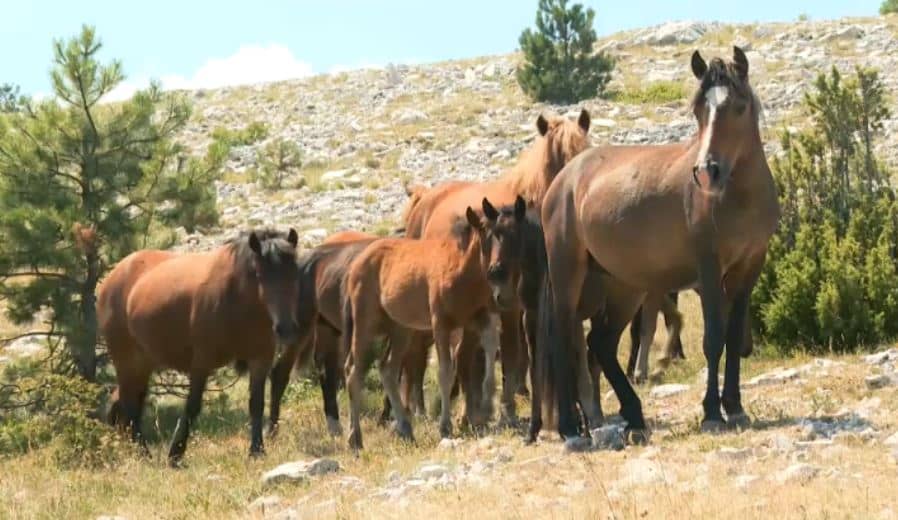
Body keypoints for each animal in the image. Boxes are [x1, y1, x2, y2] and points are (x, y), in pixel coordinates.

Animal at [98, 228, 300, 464]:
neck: (237, 302)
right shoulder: (202, 362)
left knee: (131, 404)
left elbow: (256, 405)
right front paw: (175, 455)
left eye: (294, 273)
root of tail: (111, 278)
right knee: (129, 406)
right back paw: (145, 454)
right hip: (126, 360)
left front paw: (257, 450)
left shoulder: (260, 359)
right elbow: (193, 406)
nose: (285, 328)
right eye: (259, 274)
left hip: (142, 363)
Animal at [342, 197, 524, 448]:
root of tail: (356, 263)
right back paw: (355, 438)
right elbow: (446, 372)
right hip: (365, 323)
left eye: (515, 235)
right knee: (354, 371)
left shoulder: (480, 318)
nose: (498, 274)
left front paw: (486, 408)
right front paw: (445, 426)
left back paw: (406, 429)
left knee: (387, 368)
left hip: (401, 328)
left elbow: (488, 352)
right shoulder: (441, 324)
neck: (461, 272)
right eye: (488, 236)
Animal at [400, 108, 596, 422]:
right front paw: (508, 407)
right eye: (558, 159)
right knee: (419, 352)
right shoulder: (511, 305)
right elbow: (513, 352)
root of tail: (423, 199)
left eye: (585, 151)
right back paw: (418, 408)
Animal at [540, 46, 776, 448]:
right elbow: (713, 339)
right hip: (568, 272)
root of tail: (564, 178)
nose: (707, 171)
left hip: (624, 286)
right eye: (698, 109)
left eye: (739, 106)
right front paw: (712, 413)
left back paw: (634, 417)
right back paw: (571, 430)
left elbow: (732, 336)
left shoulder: (748, 268)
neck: (739, 197)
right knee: (563, 340)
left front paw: (735, 407)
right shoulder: (709, 270)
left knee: (600, 343)